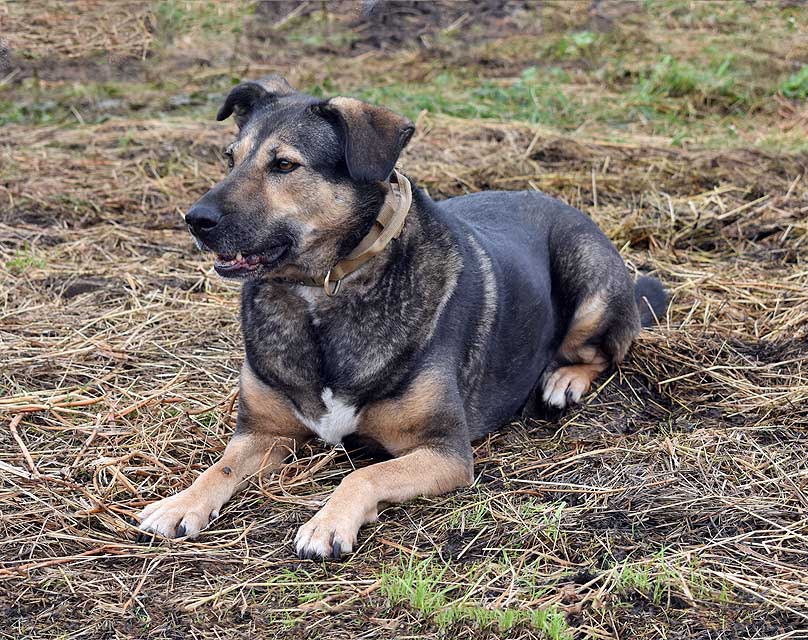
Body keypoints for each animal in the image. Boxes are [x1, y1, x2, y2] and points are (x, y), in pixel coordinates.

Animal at [137, 75, 666, 559]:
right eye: (230, 159)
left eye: (283, 164)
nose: (195, 219)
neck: (322, 293)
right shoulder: (263, 432)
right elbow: (220, 466)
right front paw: (180, 504)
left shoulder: (445, 451)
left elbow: (365, 474)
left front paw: (327, 523)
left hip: (589, 280)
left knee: (606, 350)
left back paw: (564, 380)